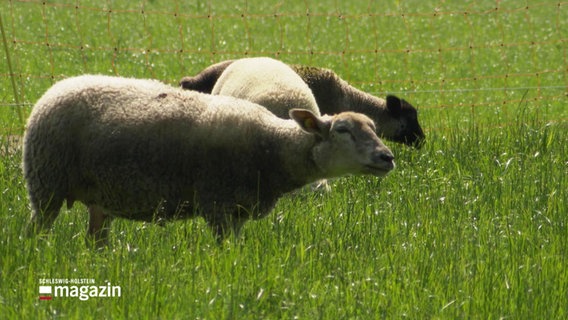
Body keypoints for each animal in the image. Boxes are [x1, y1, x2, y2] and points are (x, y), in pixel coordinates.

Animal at [23, 75, 394, 248]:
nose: (386, 157)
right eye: (343, 130)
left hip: (99, 197)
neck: (273, 146)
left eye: (374, 129)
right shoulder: (217, 204)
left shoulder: (239, 210)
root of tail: (56, 88)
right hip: (46, 184)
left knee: (95, 239)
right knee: (37, 231)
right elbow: (223, 251)